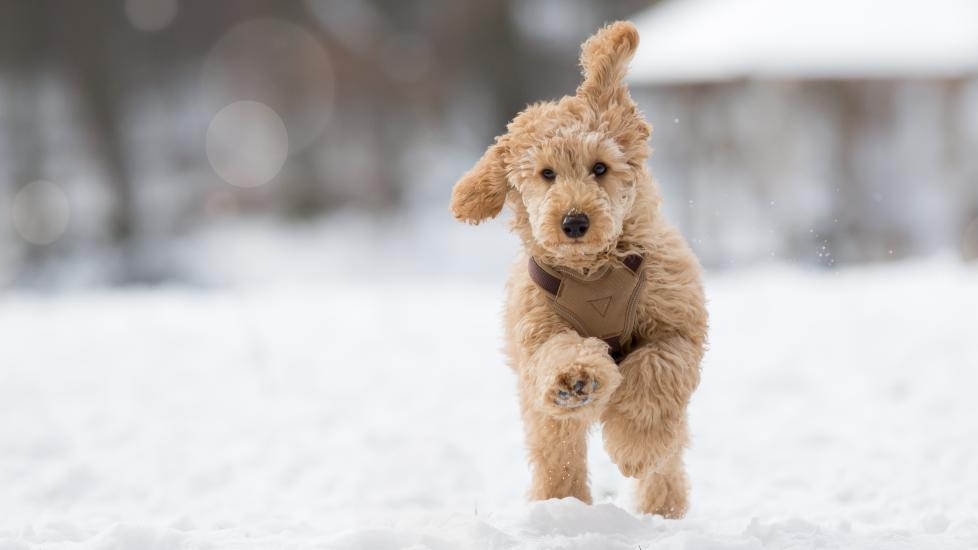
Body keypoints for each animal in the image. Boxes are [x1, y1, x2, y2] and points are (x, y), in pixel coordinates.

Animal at [446, 22, 704, 520]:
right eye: (546, 173)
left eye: (600, 167)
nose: (574, 222)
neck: (594, 271)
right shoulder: (539, 330)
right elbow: (559, 352)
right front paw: (575, 378)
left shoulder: (674, 328)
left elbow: (653, 374)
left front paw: (634, 448)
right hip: (540, 410)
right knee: (557, 451)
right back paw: (560, 505)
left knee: (668, 454)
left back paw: (662, 506)